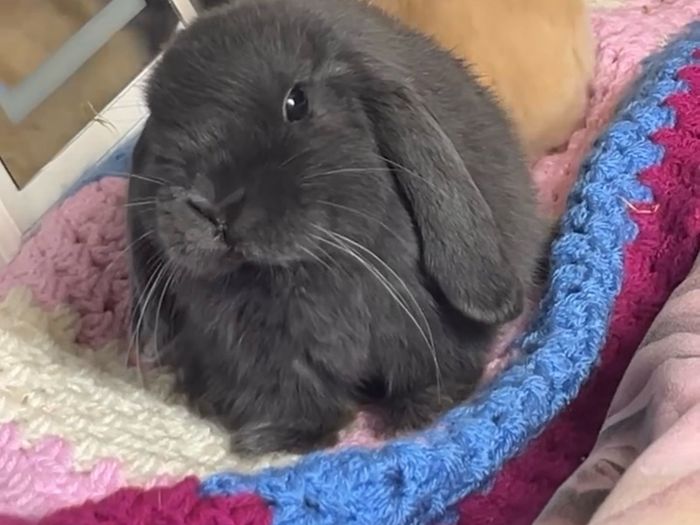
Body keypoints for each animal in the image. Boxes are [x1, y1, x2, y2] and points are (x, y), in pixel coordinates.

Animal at [127, 0, 548, 456]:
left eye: (297, 102)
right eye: (160, 127)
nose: (211, 207)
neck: (296, 272)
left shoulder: (419, 328)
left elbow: (431, 372)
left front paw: (419, 414)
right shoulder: (260, 362)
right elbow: (294, 401)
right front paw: (283, 440)